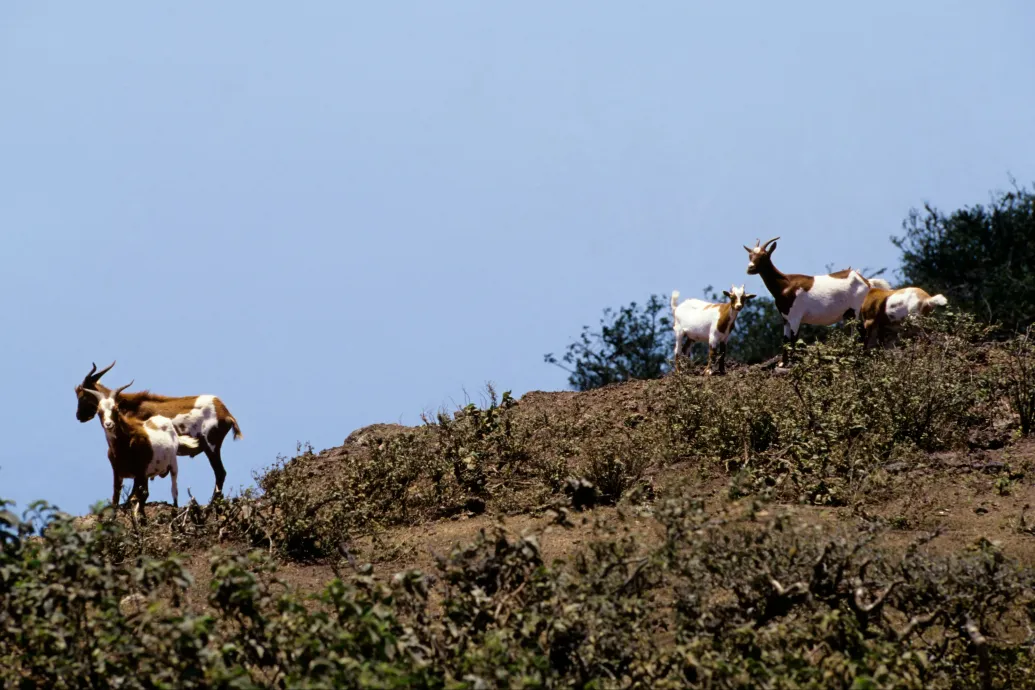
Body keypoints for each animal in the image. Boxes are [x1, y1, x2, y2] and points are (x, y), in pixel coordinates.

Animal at [75, 362, 241, 502]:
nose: (79, 416)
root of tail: (225, 413)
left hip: (211, 447)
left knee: (220, 472)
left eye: (82, 396)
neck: (131, 407)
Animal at [745, 237, 890, 366]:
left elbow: (793, 339)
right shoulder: (785, 318)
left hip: (855, 310)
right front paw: (782, 363)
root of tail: (867, 282)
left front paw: (791, 363)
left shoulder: (795, 317)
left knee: (860, 332)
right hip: (848, 314)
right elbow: (785, 340)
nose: (750, 268)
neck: (785, 285)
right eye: (750, 255)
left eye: (764, 255)